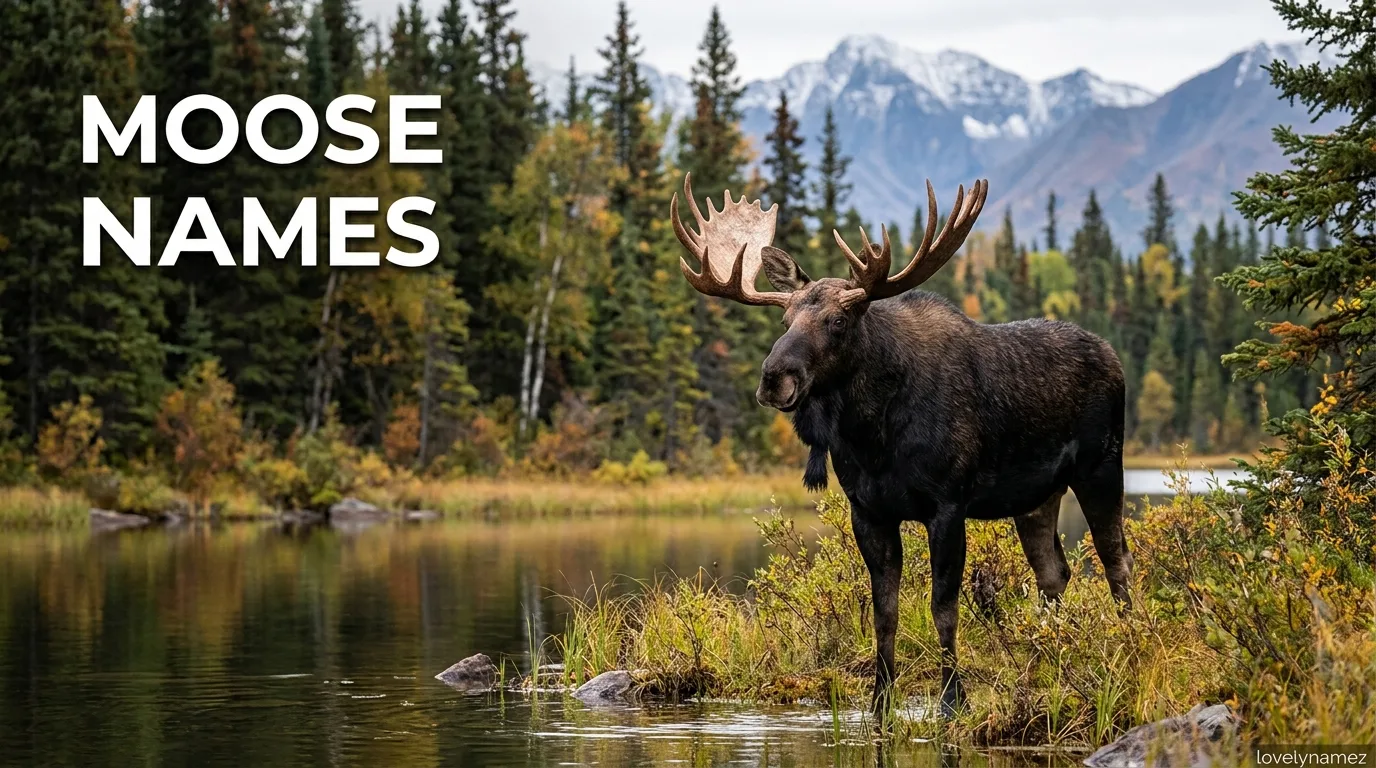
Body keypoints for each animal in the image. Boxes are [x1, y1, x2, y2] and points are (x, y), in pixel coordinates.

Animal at [669, 173, 1132, 720]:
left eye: (838, 322)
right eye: (784, 321)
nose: (773, 378)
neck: (874, 435)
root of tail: (1114, 356)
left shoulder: (947, 505)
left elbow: (943, 607)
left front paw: (953, 701)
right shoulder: (868, 511)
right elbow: (884, 611)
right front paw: (879, 702)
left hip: (1102, 466)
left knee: (1116, 560)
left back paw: (1132, 644)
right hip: (1036, 497)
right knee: (1054, 573)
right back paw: (1050, 666)